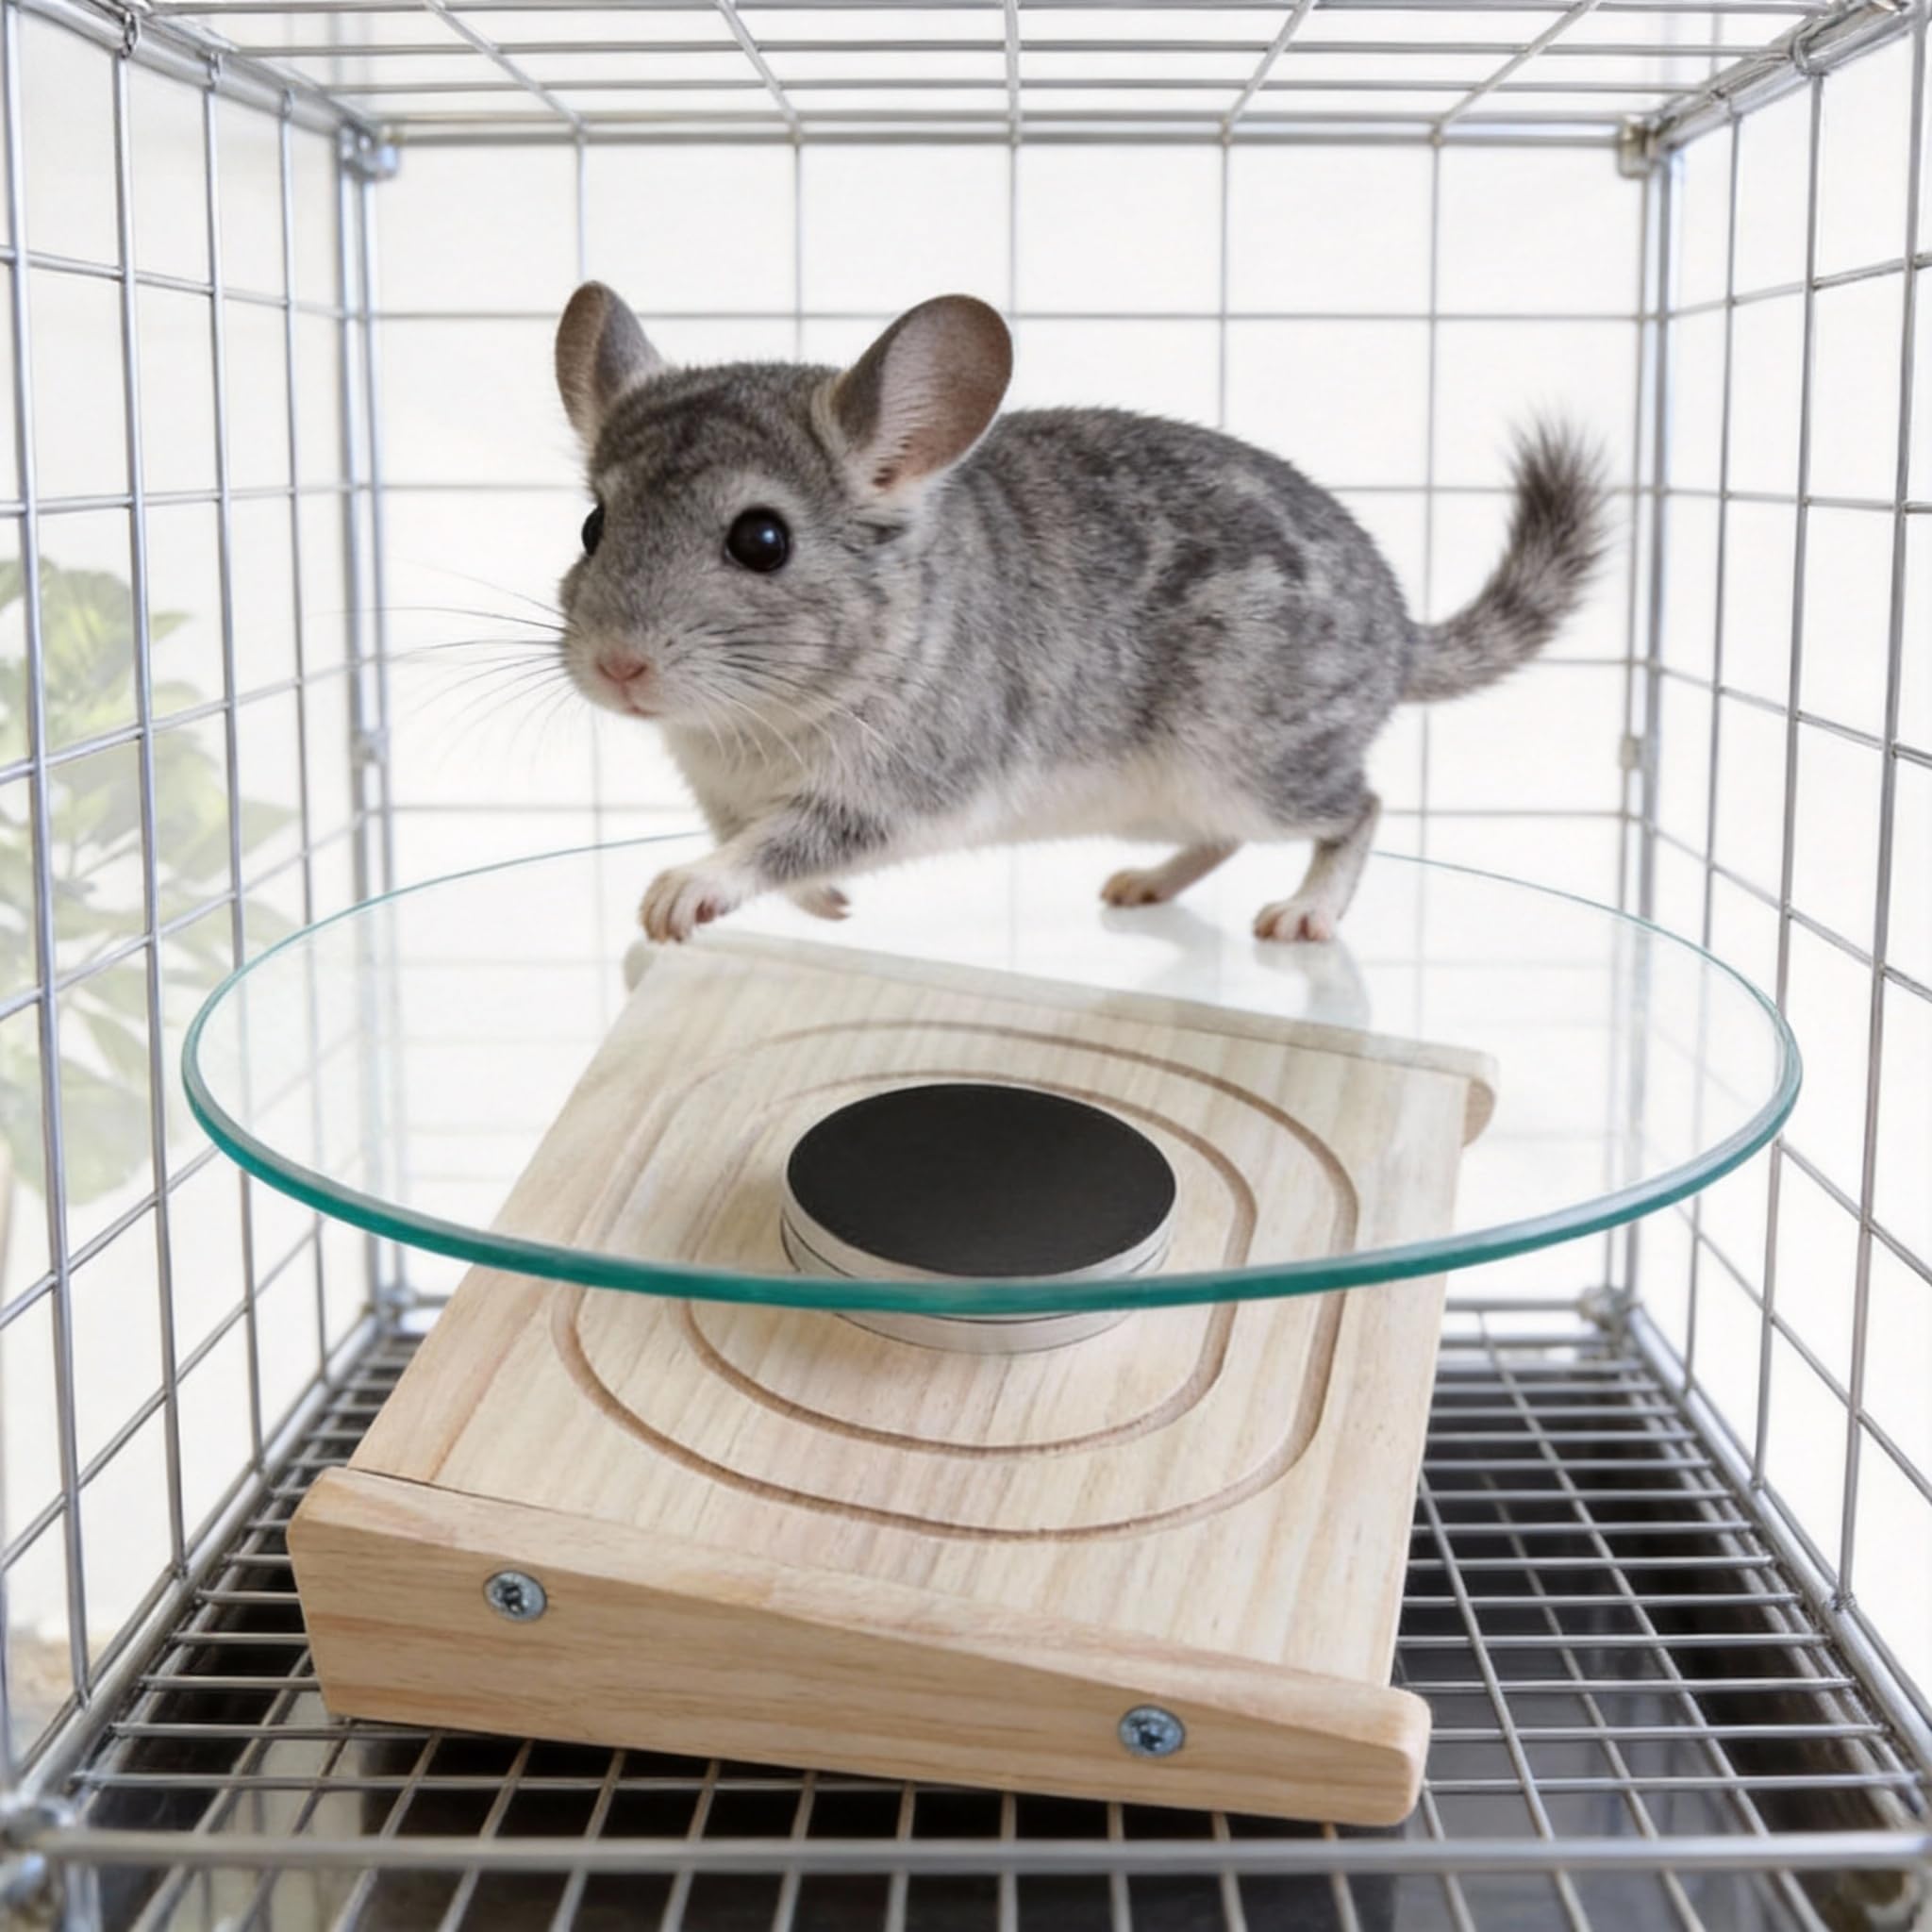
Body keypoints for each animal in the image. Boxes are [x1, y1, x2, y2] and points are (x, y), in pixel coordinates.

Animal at [553, 282, 1608, 945]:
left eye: (761, 539)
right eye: (592, 523)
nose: (616, 667)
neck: (751, 727)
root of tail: (1399, 636)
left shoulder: (904, 781)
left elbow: (778, 846)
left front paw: (683, 893)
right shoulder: (721, 794)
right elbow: (788, 859)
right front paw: (828, 909)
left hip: (1253, 765)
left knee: (1360, 806)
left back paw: (1304, 915)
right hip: (1171, 797)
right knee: (1220, 836)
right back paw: (1142, 887)